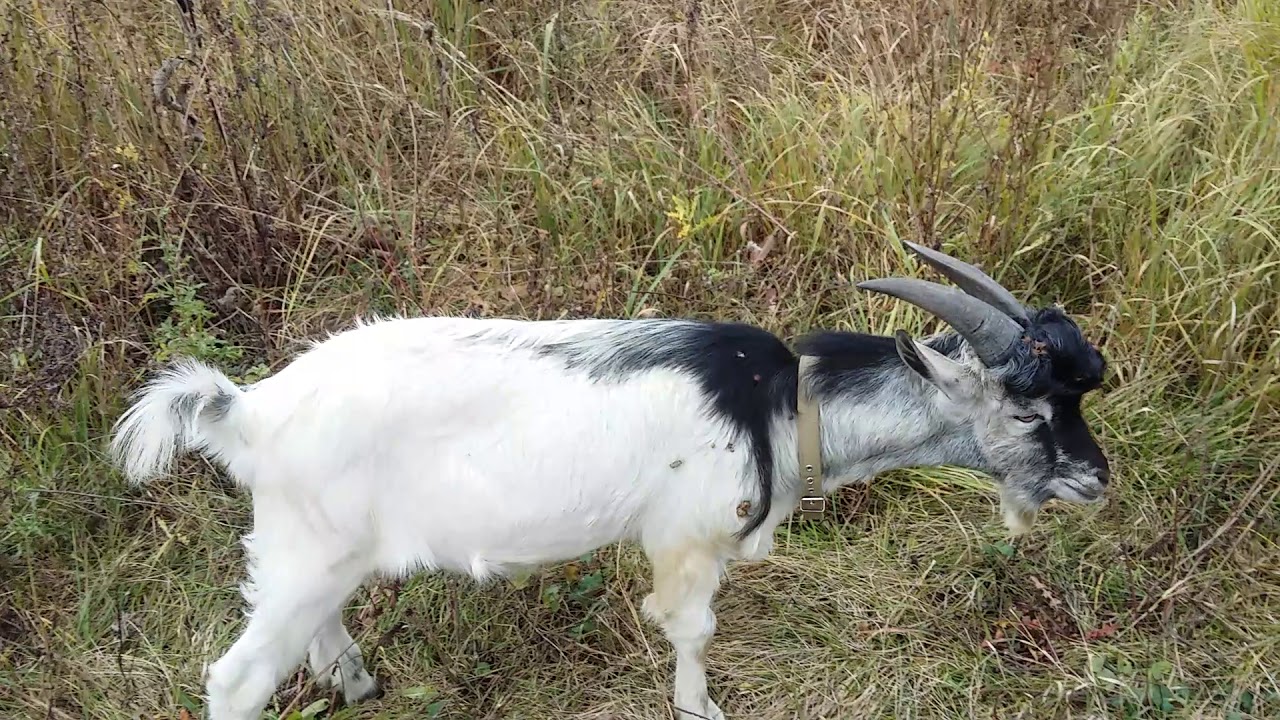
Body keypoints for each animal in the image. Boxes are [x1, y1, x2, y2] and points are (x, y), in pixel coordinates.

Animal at [110, 239, 1111, 717]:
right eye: (1027, 413)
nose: (1097, 480)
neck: (783, 406)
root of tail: (249, 412)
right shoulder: (688, 537)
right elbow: (692, 631)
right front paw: (701, 710)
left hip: (321, 554)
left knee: (317, 633)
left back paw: (358, 687)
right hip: (304, 553)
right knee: (236, 682)